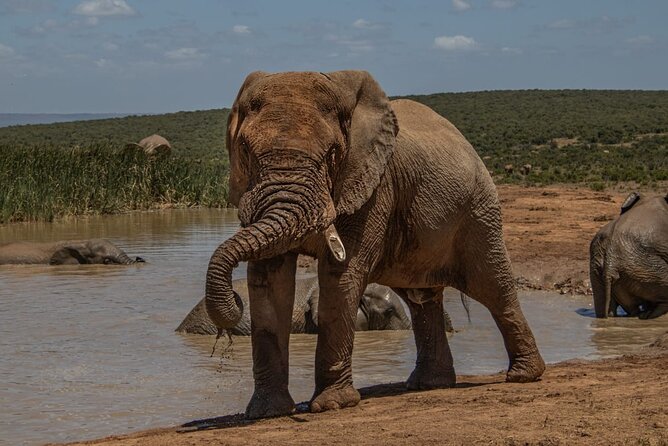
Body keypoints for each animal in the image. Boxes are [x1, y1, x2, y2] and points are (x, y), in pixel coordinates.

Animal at [204, 70, 545, 419]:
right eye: (245, 150)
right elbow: (268, 281)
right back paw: (428, 384)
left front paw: (332, 405)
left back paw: (523, 375)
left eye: (332, 154)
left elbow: (341, 276)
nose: (234, 301)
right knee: (422, 300)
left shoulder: (373, 185)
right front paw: (267, 412)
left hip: (478, 210)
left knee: (492, 286)